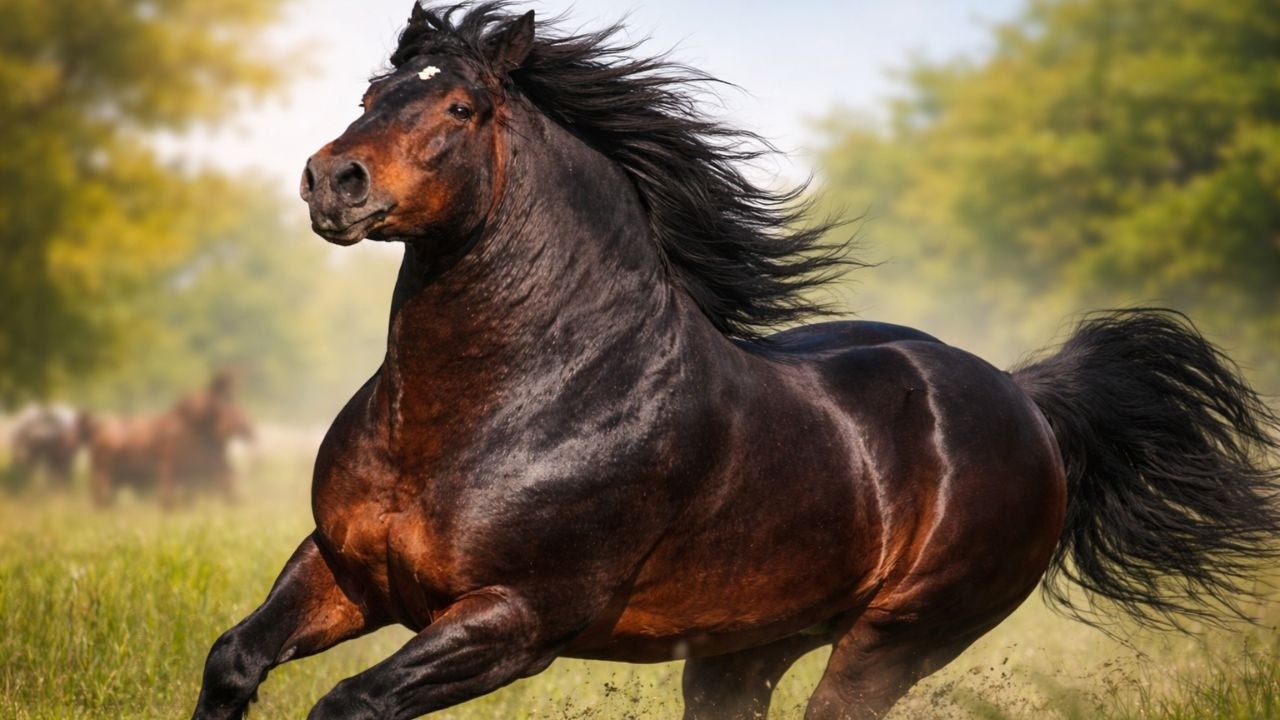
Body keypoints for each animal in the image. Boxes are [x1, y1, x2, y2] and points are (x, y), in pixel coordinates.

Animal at [88, 371, 253, 507]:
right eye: (228, 401)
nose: (248, 428)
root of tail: (96, 432)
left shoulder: (214, 468)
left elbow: (229, 484)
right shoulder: (168, 467)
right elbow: (169, 499)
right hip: (102, 474)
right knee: (102, 498)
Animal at [191, 4, 1280, 719]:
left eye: (459, 108)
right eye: (372, 91)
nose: (332, 180)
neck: (497, 406)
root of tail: (1025, 399)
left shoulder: (514, 619)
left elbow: (346, 705)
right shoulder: (344, 571)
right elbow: (235, 660)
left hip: (893, 640)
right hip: (746, 647)